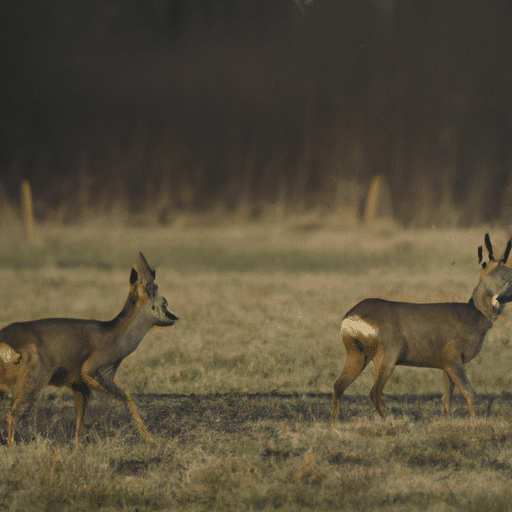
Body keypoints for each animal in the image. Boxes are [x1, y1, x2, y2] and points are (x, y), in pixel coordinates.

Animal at [0, 253, 179, 448]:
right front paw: (150, 439)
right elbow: (129, 399)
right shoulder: (92, 372)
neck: (116, 335)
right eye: (157, 291)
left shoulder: (80, 386)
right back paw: (12, 448)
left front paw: (77, 449)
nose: (172, 312)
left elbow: (80, 425)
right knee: (12, 415)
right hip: (30, 386)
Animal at [330, 234, 512, 426]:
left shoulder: (445, 364)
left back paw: (332, 427)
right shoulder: (453, 357)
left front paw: (447, 422)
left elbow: (447, 398)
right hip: (387, 355)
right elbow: (469, 393)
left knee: (339, 385)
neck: (474, 314)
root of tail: (350, 317)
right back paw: (392, 421)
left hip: (358, 355)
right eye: (500, 275)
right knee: (374, 392)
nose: (502, 297)